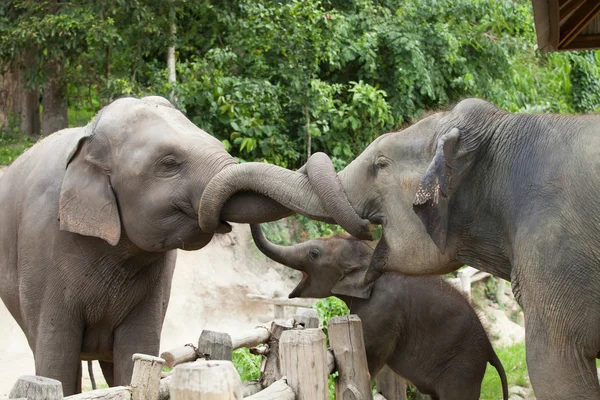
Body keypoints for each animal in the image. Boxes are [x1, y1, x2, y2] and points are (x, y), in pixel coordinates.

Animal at [248, 225, 506, 400]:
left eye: (313, 253)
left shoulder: (382, 312)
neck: (369, 257)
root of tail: (491, 348)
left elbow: (371, 356)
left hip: (464, 366)